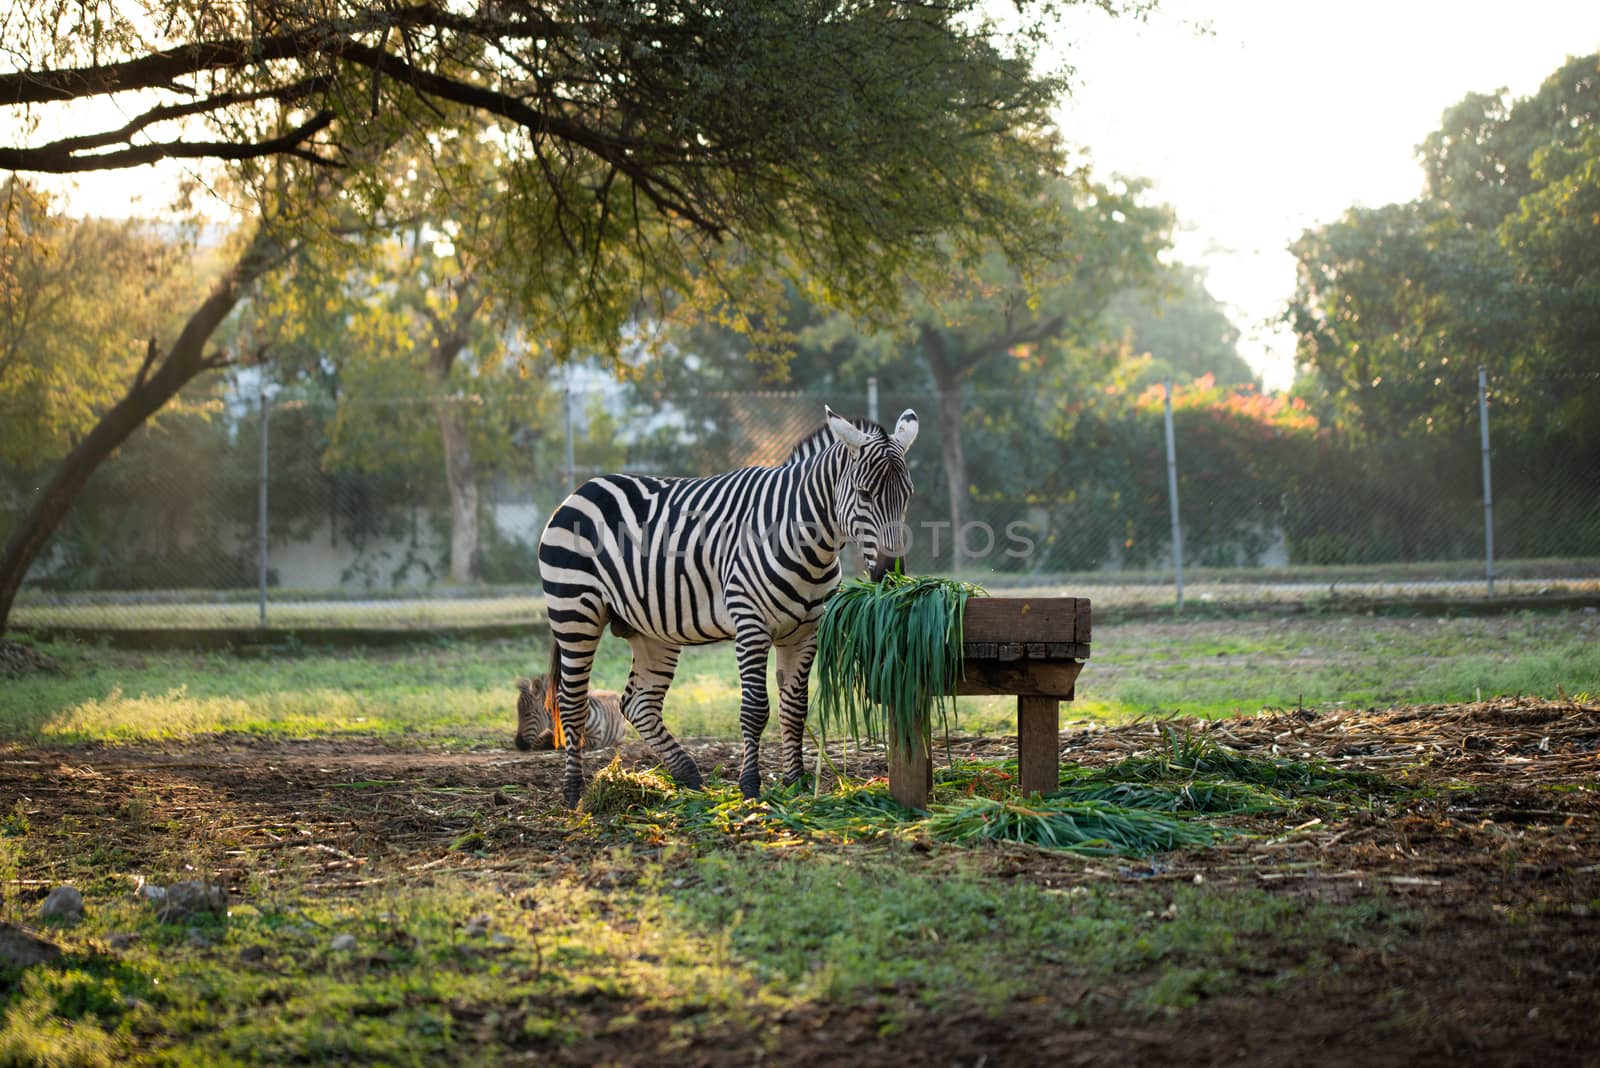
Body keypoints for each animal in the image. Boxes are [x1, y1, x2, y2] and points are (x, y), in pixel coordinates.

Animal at [537, 404, 921, 805]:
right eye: (864, 494)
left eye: (907, 494)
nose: (890, 572)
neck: (807, 540)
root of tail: (583, 488)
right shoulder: (750, 623)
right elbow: (755, 709)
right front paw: (750, 785)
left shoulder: (804, 632)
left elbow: (795, 708)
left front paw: (795, 783)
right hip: (574, 613)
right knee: (572, 702)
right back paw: (574, 793)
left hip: (650, 628)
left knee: (639, 702)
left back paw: (688, 775)